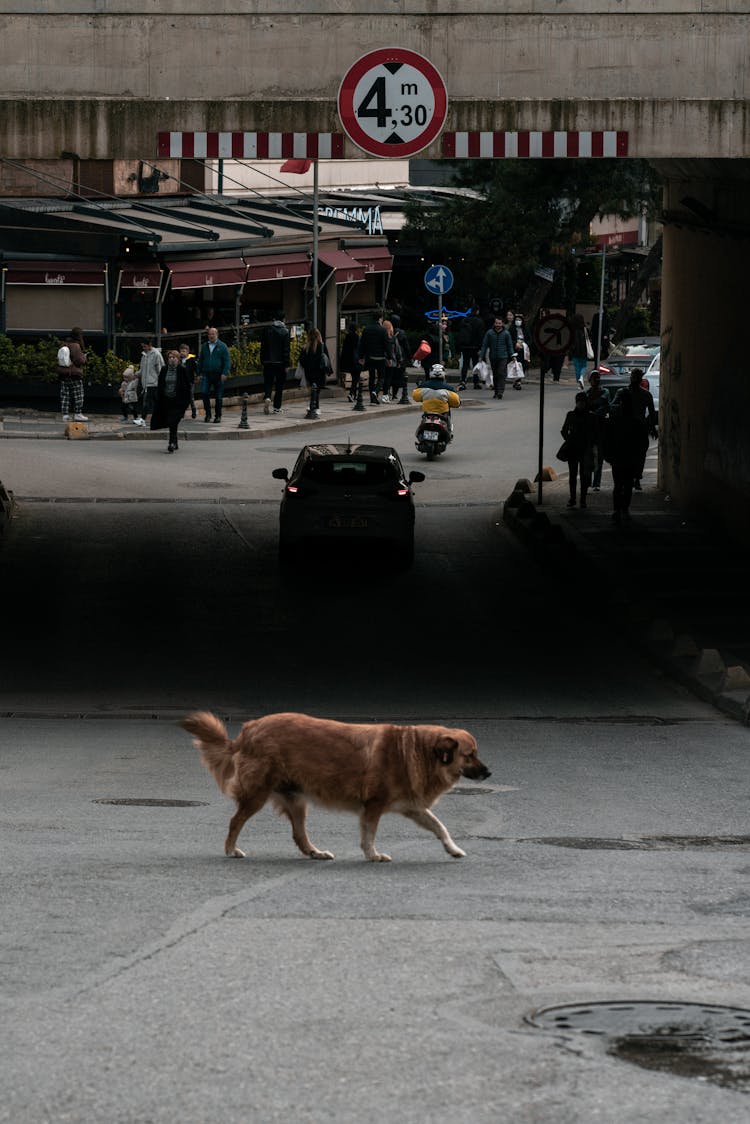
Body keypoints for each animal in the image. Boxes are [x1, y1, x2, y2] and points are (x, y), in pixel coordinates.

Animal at [179, 710, 490, 858]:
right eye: (470, 754)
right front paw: (373, 855)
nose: (489, 773)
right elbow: (369, 834)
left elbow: (439, 826)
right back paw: (230, 849)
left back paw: (314, 852)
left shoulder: (413, 807)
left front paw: (453, 848)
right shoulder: (373, 805)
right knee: (236, 821)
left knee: (299, 834)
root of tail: (248, 730)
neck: (415, 750)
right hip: (258, 794)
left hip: (297, 800)